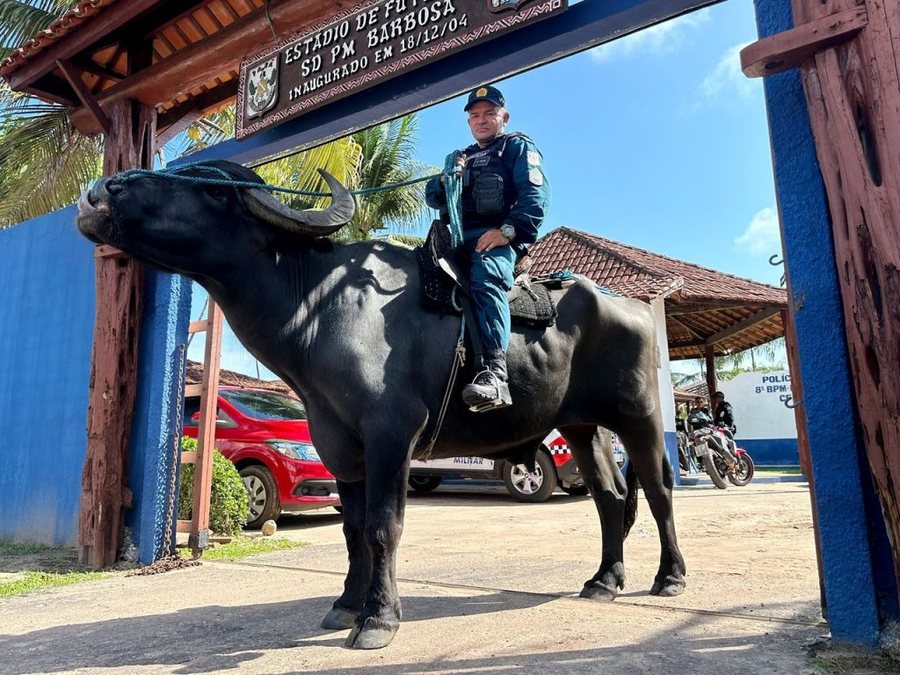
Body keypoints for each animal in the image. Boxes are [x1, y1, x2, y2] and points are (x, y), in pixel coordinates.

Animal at [77, 161, 684, 652]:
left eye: (213, 190)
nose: (98, 194)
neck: (322, 306)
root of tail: (629, 306)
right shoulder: (338, 442)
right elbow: (351, 528)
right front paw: (347, 603)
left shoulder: (393, 433)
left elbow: (383, 526)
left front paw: (379, 619)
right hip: (582, 426)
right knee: (610, 497)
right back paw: (604, 580)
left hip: (641, 416)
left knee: (657, 490)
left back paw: (670, 576)